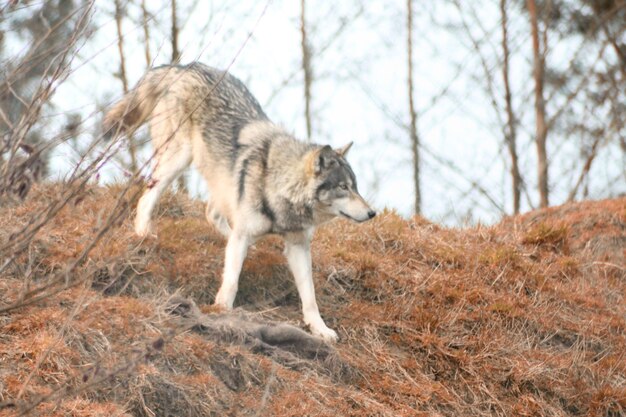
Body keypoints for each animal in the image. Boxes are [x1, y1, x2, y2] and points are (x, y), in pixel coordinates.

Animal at [103, 62, 376, 342]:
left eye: (355, 187)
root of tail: (185, 66)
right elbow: (231, 281)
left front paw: (320, 329)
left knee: (212, 214)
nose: (372, 213)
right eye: (343, 187)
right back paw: (143, 234)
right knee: (147, 198)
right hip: (177, 160)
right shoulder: (246, 234)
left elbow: (309, 296)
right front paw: (221, 310)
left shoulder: (298, 245)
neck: (279, 186)